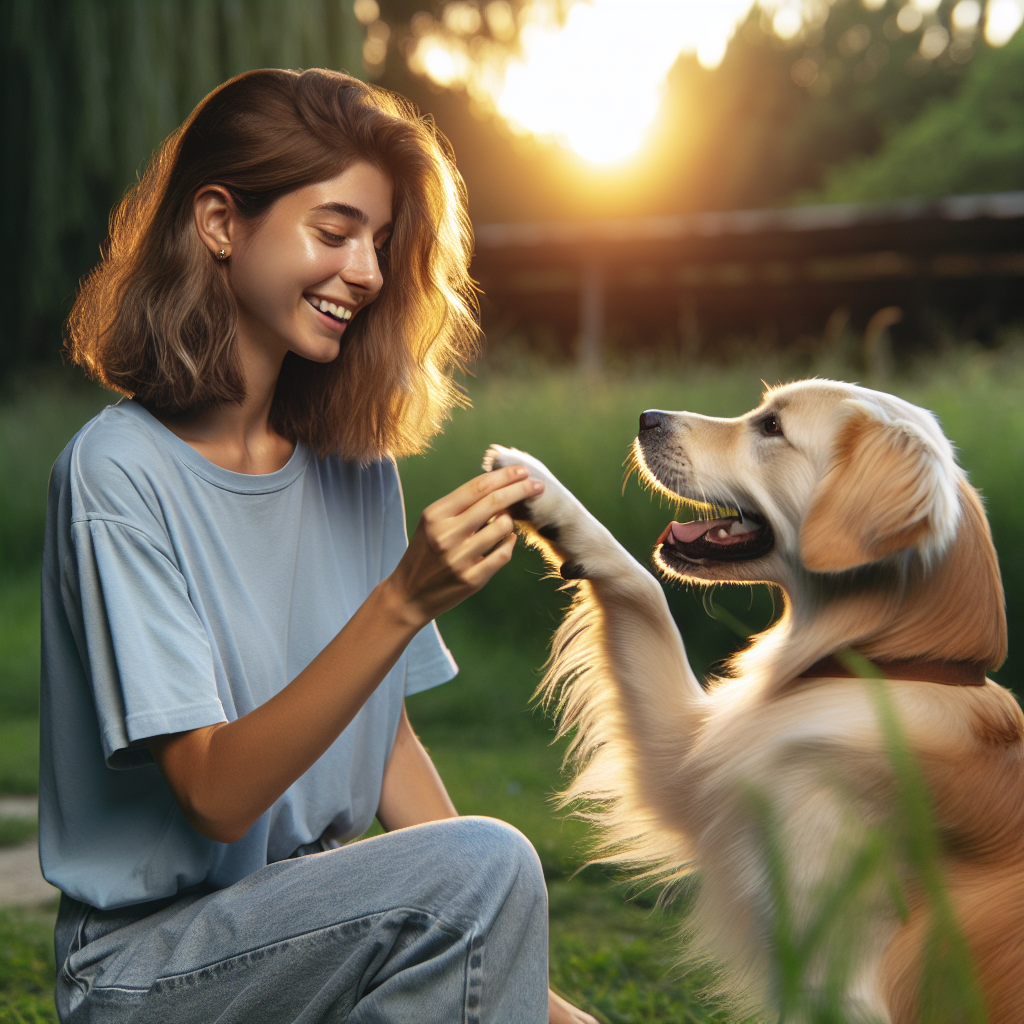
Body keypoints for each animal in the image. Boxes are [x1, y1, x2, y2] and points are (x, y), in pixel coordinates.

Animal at [481, 382, 1024, 1024]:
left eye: (771, 427)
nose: (647, 418)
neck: (893, 669)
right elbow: (644, 585)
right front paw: (534, 488)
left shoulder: (833, 975)